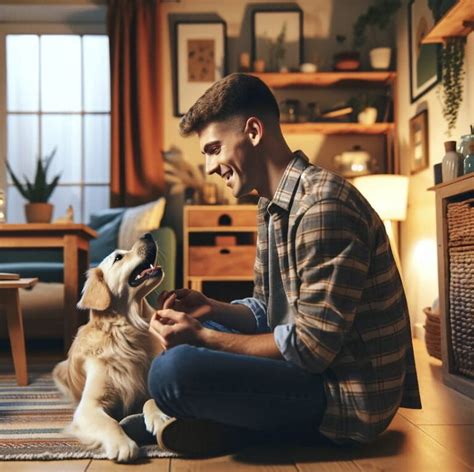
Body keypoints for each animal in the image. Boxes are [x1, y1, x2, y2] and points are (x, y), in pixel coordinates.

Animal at [52, 232, 165, 460]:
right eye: (118, 258)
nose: (148, 235)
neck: (127, 334)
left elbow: (151, 400)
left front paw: (159, 417)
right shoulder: (88, 406)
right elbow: (110, 422)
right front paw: (123, 444)